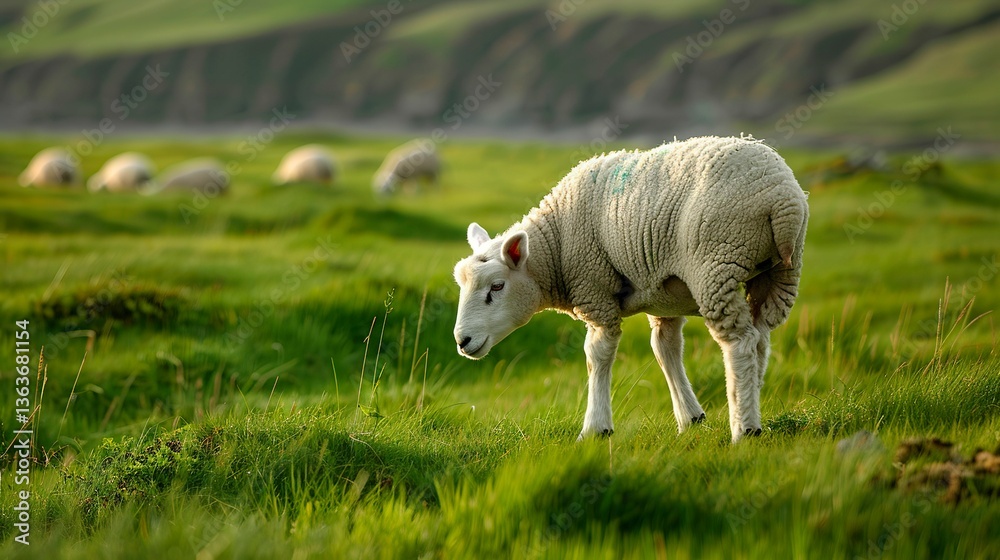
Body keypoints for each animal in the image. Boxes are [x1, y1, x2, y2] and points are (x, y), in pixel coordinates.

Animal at [452, 136, 808, 443]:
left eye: (497, 286)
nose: (462, 341)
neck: (555, 246)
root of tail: (784, 200)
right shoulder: (665, 298)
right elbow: (665, 349)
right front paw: (690, 418)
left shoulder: (594, 289)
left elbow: (597, 354)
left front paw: (595, 429)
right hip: (778, 272)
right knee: (760, 339)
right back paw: (753, 411)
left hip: (716, 262)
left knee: (740, 342)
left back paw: (744, 429)